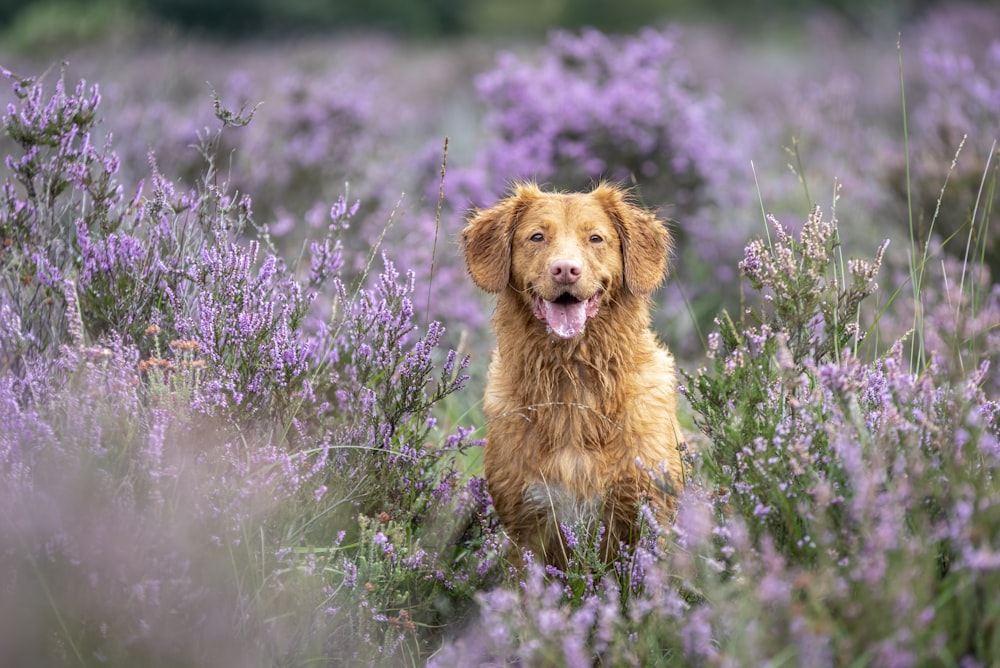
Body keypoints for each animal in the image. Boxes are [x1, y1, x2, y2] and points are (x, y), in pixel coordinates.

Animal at [462, 180, 684, 568]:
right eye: (537, 236)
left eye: (595, 238)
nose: (565, 270)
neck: (572, 381)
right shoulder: (527, 525)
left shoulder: (649, 513)